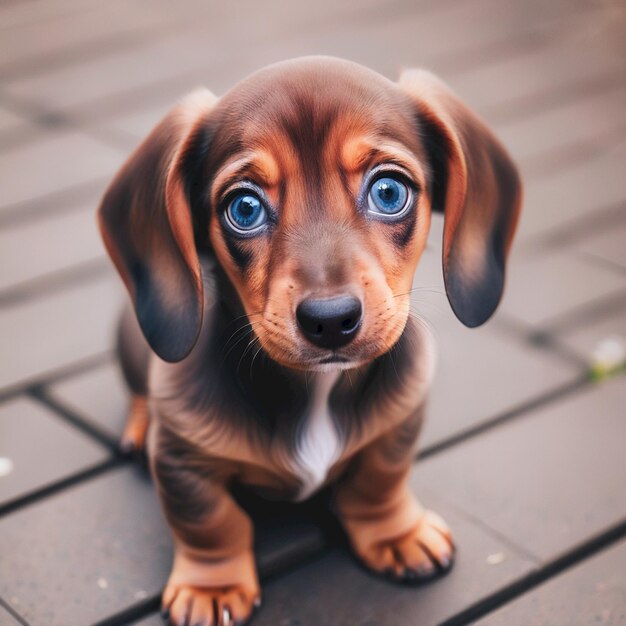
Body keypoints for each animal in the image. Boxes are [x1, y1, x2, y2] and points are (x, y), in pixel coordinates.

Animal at [100, 57, 520, 624]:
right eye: (244, 208)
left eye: (389, 191)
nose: (331, 320)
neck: (317, 387)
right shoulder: (182, 461)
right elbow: (210, 521)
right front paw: (212, 585)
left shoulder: (399, 423)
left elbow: (380, 478)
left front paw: (397, 533)